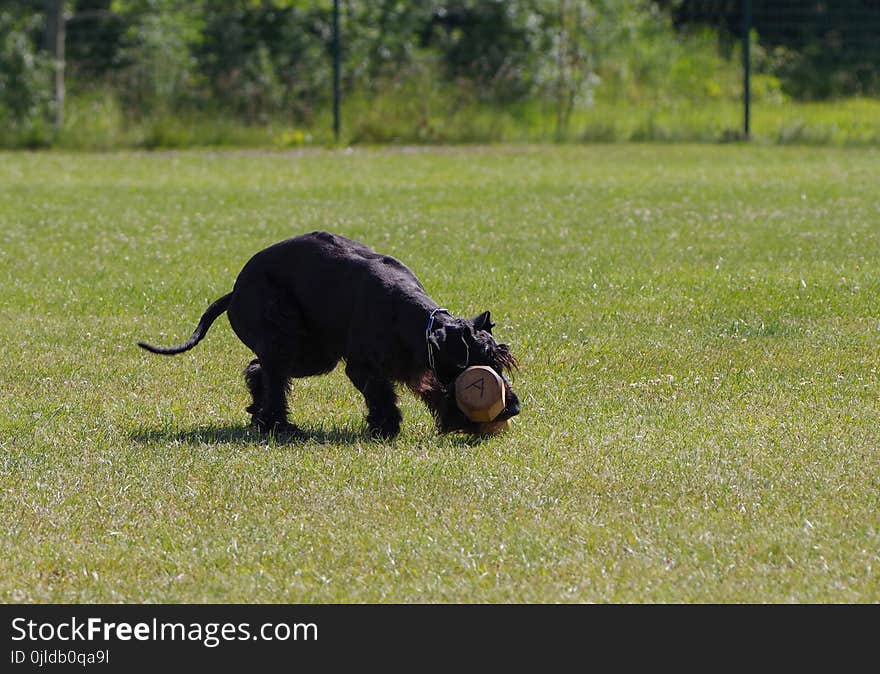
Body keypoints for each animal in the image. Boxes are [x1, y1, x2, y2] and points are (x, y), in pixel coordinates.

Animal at [138, 231, 520, 438]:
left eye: (502, 362)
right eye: (481, 365)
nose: (513, 407)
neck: (413, 319)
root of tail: (234, 291)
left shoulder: (418, 367)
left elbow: (435, 390)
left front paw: (459, 420)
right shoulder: (363, 367)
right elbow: (382, 394)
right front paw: (386, 427)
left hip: (311, 354)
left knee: (260, 370)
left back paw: (260, 415)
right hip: (285, 337)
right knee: (273, 376)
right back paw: (280, 427)